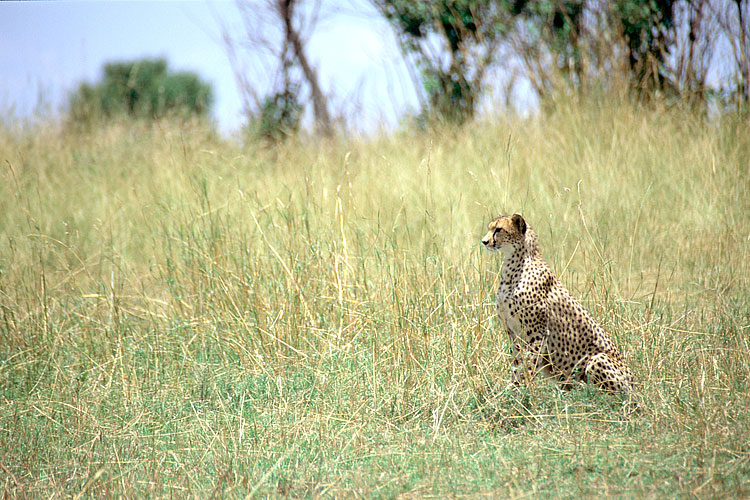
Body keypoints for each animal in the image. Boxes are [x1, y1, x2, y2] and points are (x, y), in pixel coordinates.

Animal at [482, 213, 636, 392]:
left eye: (498, 229)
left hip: (597, 359)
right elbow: (517, 363)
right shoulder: (513, 333)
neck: (514, 267)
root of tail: (636, 383)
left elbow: (528, 365)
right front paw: (512, 390)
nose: (484, 241)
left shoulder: (536, 333)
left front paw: (523, 391)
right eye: (490, 228)